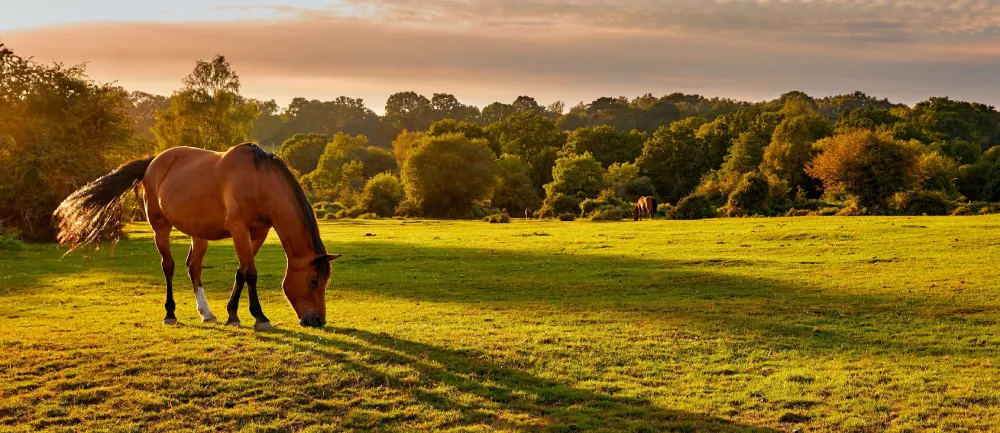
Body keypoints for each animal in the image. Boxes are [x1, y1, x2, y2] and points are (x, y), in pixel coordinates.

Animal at [54, 143, 340, 329]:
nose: (318, 321)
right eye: (313, 280)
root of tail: (153, 162)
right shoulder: (239, 230)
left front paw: (232, 315)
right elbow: (250, 272)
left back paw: (207, 313)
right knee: (168, 266)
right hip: (160, 227)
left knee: (194, 267)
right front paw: (260, 317)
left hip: (198, 233)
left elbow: (241, 271)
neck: (259, 182)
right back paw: (170, 314)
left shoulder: (258, 232)